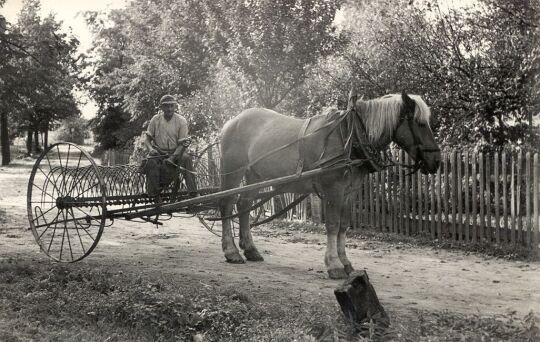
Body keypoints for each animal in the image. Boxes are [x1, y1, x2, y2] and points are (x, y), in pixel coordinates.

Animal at [217, 92, 440, 280]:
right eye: (420, 123)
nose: (436, 162)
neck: (351, 137)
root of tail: (233, 121)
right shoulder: (333, 190)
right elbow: (332, 225)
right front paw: (334, 265)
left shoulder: (349, 192)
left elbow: (343, 225)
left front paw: (346, 262)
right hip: (233, 172)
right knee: (227, 204)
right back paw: (231, 251)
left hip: (255, 175)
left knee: (244, 205)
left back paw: (250, 249)